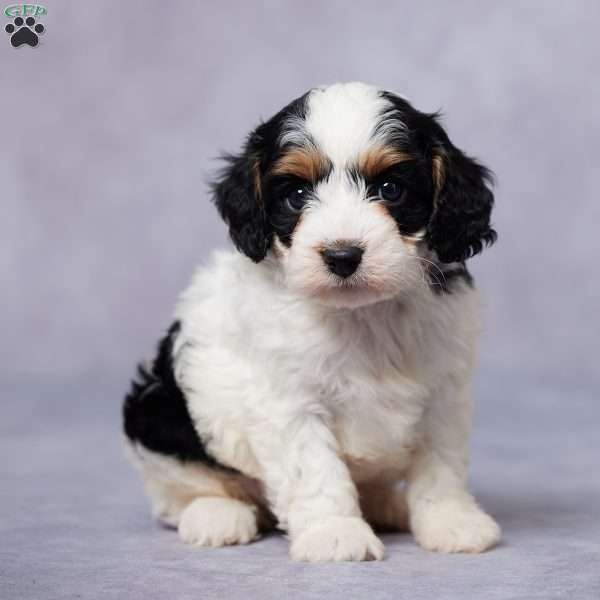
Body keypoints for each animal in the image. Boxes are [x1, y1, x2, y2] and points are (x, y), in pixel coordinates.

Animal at [123, 82, 502, 560]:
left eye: (391, 189)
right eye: (297, 196)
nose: (342, 255)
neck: (360, 313)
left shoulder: (444, 392)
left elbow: (441, 464)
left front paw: (451, 521)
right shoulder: (290, 402)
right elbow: (315, 469)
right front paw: (335, 533)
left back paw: (389, 505)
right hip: (159, 419)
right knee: (184, 490)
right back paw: (216, 515)